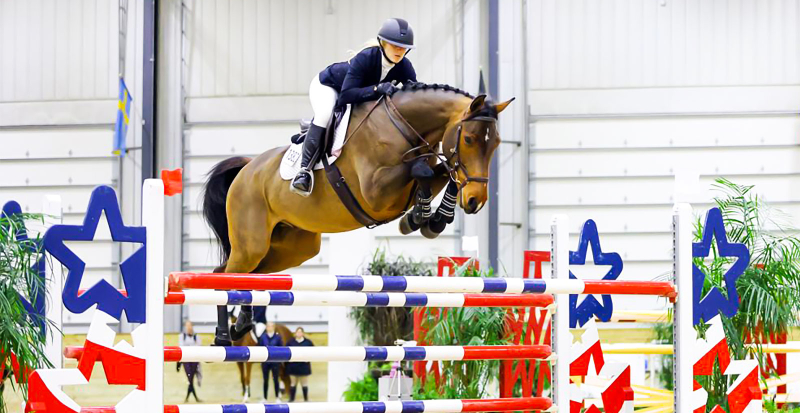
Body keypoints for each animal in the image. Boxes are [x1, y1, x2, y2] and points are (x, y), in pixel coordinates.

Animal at [204, 82, 513, 342]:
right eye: (469, 139)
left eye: (496, 143)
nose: (476, 201)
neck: (404, 126)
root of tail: (246, 168)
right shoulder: (376, 192)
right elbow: (422, 170)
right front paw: (420, 217)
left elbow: (442, 173)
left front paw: (430, 219)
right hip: (252, 243)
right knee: (224, 274)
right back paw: (223, 335)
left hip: (293, 248)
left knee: (246, 275)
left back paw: (241, 324)